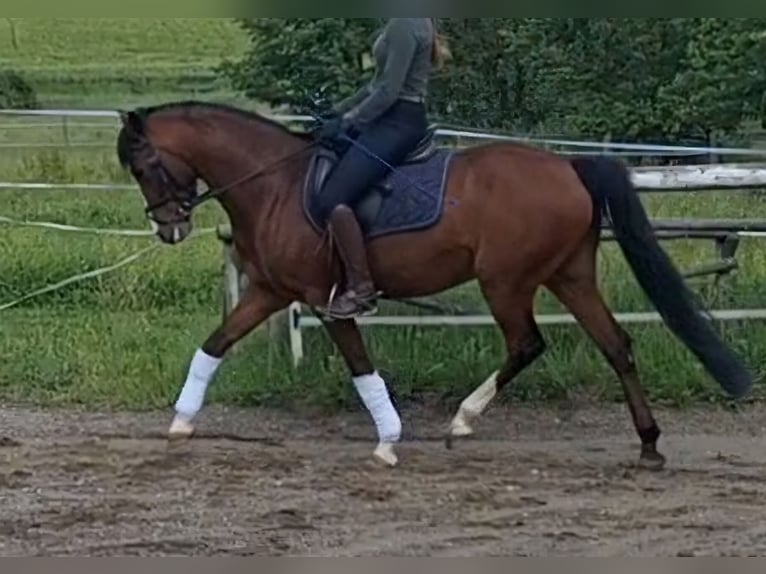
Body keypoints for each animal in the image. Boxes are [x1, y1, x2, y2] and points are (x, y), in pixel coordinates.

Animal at [117, 101, 752, 472]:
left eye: (144, 165)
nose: (168, 228)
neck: (275, 184)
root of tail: (567, 166)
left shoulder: (325, 300)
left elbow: (360, 365)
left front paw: (389, 438)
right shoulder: (270, 290)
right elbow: (214, 344)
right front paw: (180, 424)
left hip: (506, 280)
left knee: (527, 344)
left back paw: (463, 421)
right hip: (569, 273)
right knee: (616, 345)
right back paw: (648, 445)